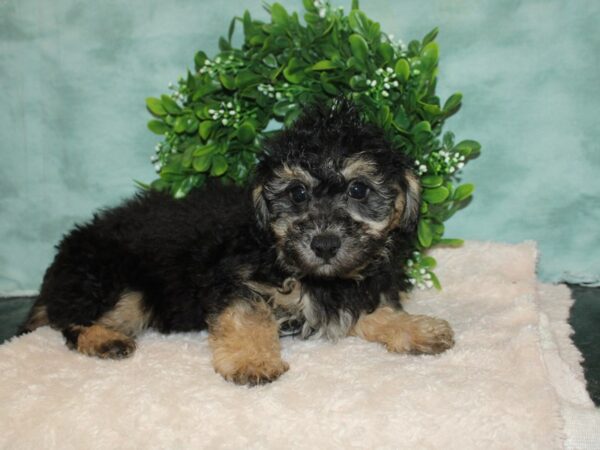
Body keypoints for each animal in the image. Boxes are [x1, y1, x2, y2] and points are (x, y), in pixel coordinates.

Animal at [21, 100, 454, 384]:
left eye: (359, 190)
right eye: (297, 194)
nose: (325, 244)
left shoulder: (352, 286)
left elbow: (373, 308)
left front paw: (415, 328)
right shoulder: (234, 277)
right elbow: (249, 315)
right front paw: (253, 361)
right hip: (114, 282)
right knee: (72, 323)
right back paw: (104, 340)